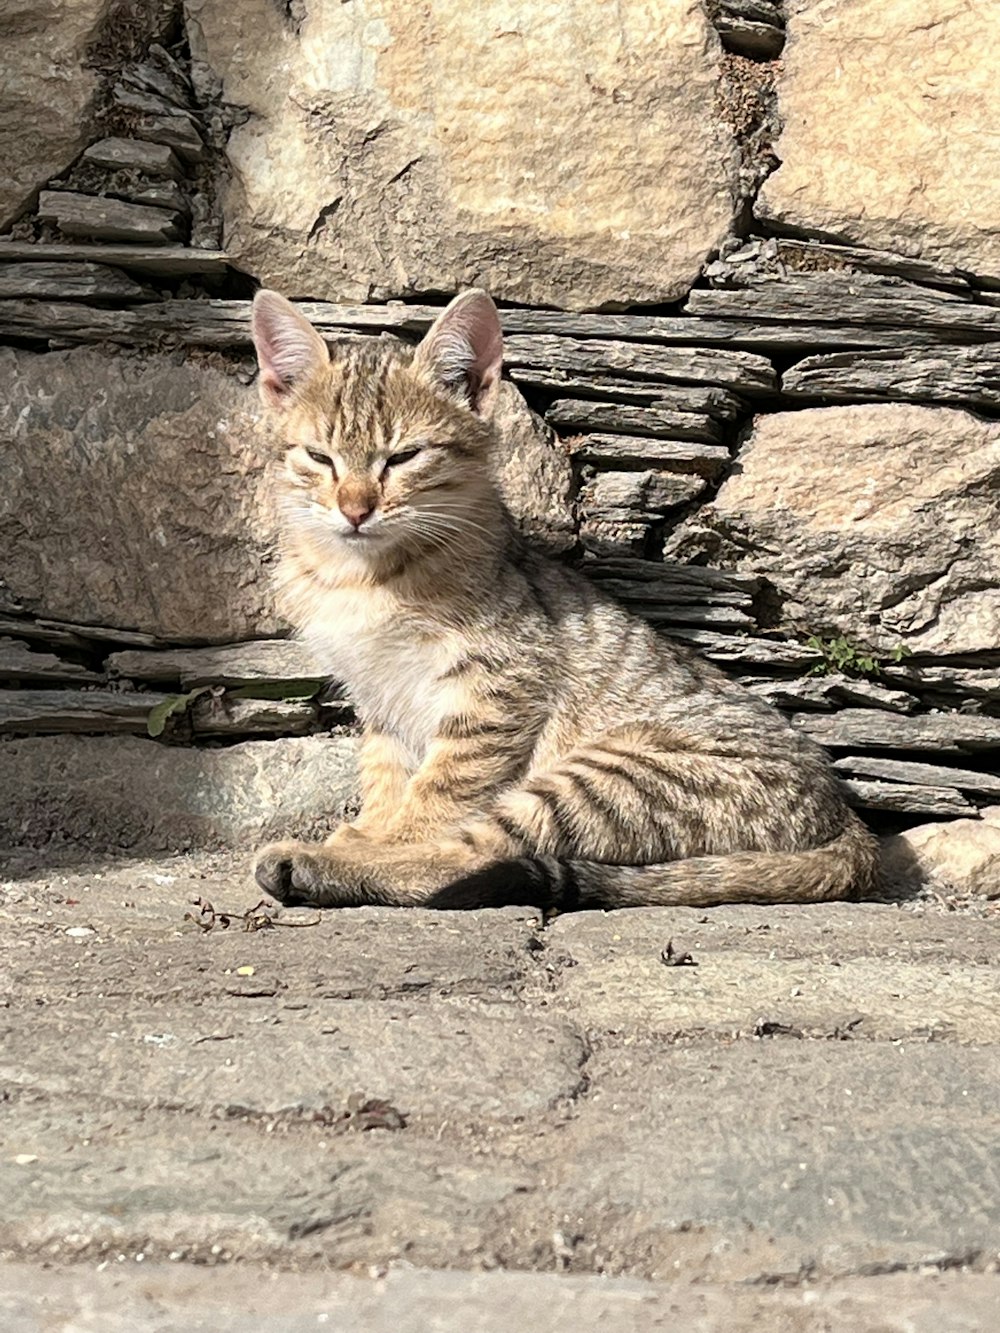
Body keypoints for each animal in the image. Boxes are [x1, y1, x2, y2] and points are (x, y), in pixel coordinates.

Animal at [252, 286, 885, 911]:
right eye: (319, 457)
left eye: (405, 457)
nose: (355, 510)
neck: (362, 576)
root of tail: (848, 822)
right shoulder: (379, 696)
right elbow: (386, 777)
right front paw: (367, 828)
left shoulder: (495, 692)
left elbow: (434, 800)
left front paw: (376, 843)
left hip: (609, 781)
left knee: (466, 859)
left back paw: (316, 866)